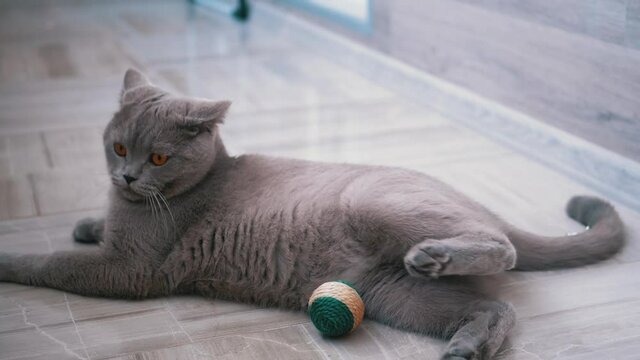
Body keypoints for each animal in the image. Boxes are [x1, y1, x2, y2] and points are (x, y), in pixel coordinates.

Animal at [0, 69, 624, 360]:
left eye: (157, 157)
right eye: (118, 147)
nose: (127, 177)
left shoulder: (131, 269)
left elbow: (52, 263)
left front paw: (12, 258)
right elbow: (93, 229)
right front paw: (87, 223)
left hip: (378, 207)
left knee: (505, 248)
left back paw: (437, 253)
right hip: (396, 294)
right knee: (496, 307)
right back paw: (466, 344)